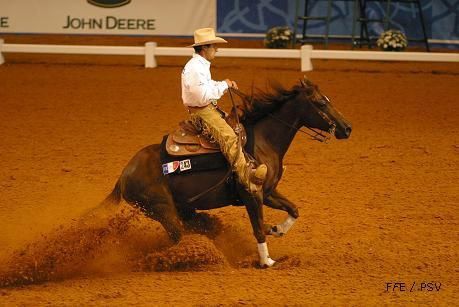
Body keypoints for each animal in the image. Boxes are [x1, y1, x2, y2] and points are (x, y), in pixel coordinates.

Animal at [99, 76, 352, 268]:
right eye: (320, 103)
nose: (347, 128)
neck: (263, 141)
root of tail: (124, 175)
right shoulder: (252, 194)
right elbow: (258, 229)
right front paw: (266, 261)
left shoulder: (268, 191)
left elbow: (293, 209)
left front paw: (277, 229)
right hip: (163, 210)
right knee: (179, 236)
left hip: (182, 207)